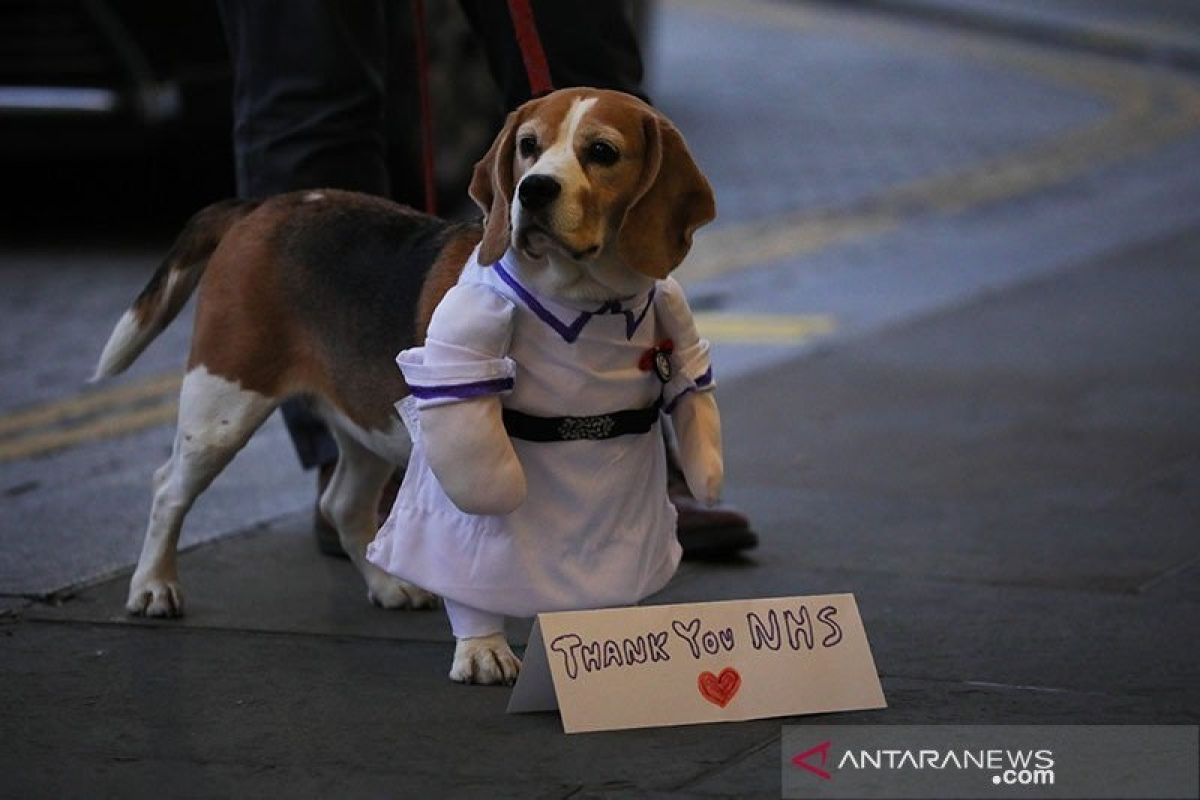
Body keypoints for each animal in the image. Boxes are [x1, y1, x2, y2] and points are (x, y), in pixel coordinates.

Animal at [93, 89, 715, 690]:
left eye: (602, 152)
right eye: (528, 147)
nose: (532, 190)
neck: (583, 307)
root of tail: (262, 206)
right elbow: (466, 560)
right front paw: (482, 652)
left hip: (369, 423)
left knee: (341, 505)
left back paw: (388, 584)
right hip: (224, 404)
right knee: (168, 489)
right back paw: (153, 586)